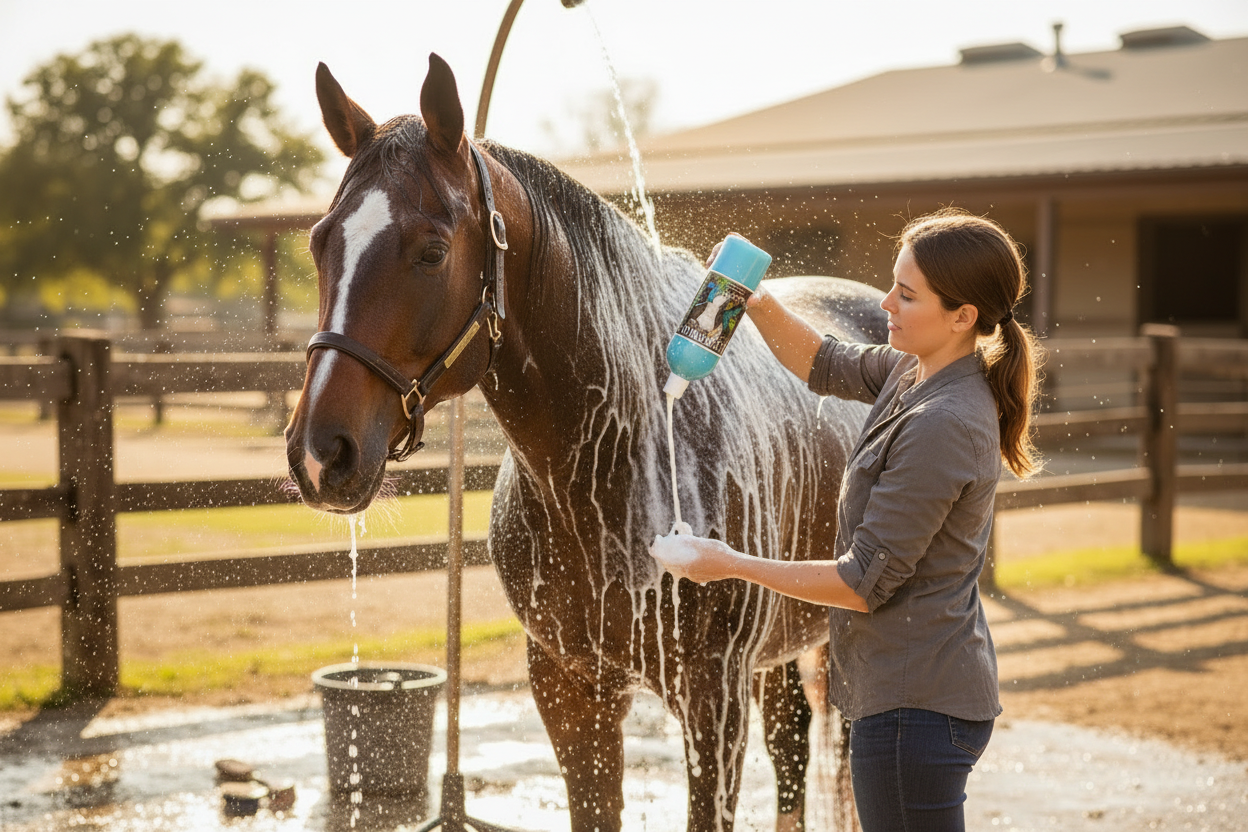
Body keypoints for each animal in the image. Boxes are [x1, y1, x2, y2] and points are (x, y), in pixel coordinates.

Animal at [285, 54, 887, 832]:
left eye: (432, 251)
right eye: (320, 240)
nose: (319, 452)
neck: (615, 459)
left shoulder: (713, 701)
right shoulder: (571, 689)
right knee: (791, 746)